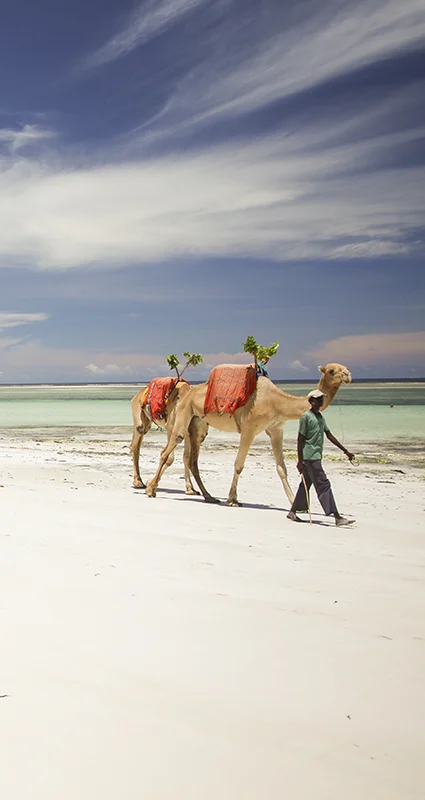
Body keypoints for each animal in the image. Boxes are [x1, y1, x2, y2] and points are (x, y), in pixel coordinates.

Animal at [145, 363, 352, 506]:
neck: (276, 401)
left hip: (197, 423)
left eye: (343, 367)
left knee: (191, 458)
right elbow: (239, 465)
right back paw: (151, 488)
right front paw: (232, 499)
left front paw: (294, 502)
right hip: (183, 412)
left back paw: (208, 496)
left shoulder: (276, 429)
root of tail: (187, 392)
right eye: (332, 370)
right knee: (171, 447)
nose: (348, 374)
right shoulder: (249, 428)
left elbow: (281, 468)